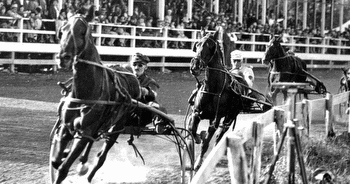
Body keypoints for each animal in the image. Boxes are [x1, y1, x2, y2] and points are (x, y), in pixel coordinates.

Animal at [49, 5, 142, 183]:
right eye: (62, 30)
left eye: (82, 31)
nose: (63, 57)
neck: (84, 94)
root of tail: (132, 74)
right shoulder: (66, 129)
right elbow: (56, 161)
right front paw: (64, 156)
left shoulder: (85, 133)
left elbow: (63, 169)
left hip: (117, 126)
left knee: (101, 157)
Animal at [189, 27, 249, 170]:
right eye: (197, 44)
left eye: (210, 46)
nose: (195, 65)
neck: (213, 88)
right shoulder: (197, 113)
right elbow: (192, 130)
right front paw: (198, 137)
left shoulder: (215, 120)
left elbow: (207, 141)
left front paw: (199, 161)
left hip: (230, 116)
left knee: (220, 134)